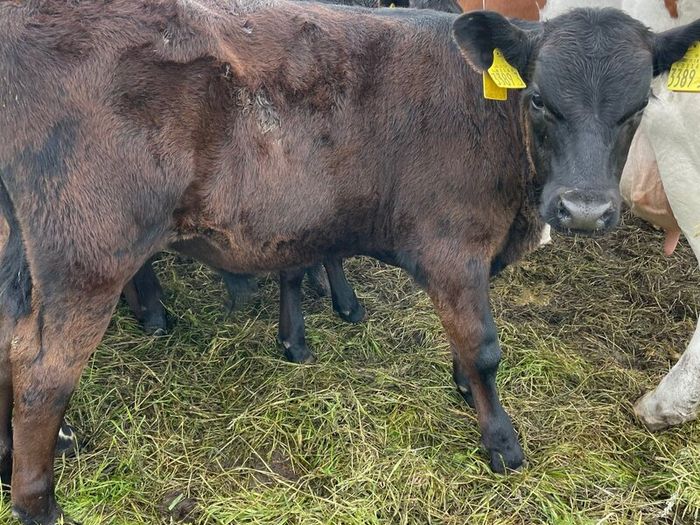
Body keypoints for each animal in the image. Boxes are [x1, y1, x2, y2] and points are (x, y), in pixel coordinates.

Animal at [1, 1, 698, 523]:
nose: (584, 209)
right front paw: (501, 441)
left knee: (10, 344)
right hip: (87, 256)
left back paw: (12, 461)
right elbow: (483, 348)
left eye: (636, 109)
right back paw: (39, 504)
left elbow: (463, 341)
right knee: (43, 374)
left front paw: (459, 388)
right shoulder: (453, 247)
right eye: (540, 102)